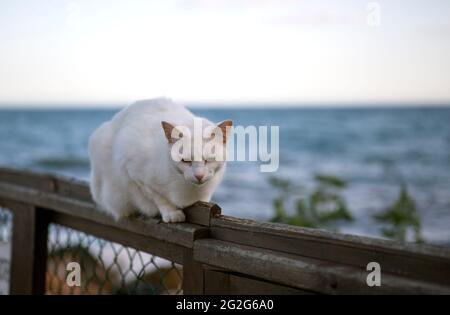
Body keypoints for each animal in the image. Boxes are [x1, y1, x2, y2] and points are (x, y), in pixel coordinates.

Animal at [88, 97, 232, 223]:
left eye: (209, 159)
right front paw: (171, 213)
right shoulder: (135, 174)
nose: (199, 176)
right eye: (185, 160)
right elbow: (159, 198)